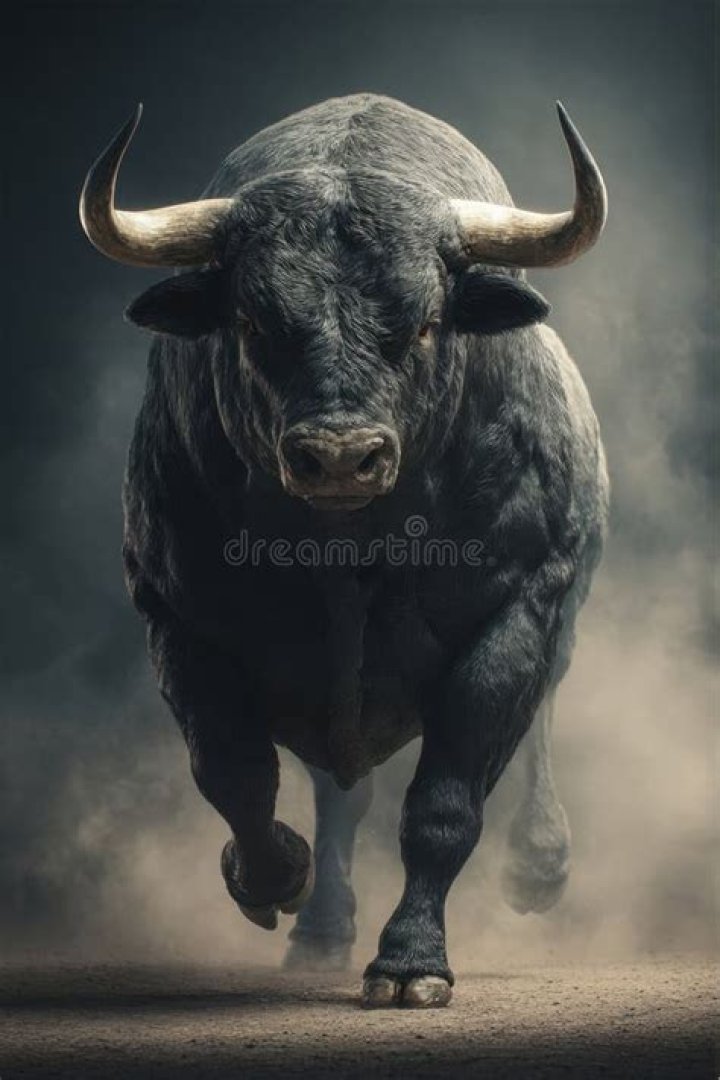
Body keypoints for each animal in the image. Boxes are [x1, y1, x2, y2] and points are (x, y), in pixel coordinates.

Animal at [79, 93, 608, 1008]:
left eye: (427, 322)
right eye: (251, 321)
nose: (338, 455)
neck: (345, 555)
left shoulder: (519, 610)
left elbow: (444, 805)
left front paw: (410, 964)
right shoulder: (175, 617)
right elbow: (234, 773)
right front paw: (271, 875)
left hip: (562, 619)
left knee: (536, 723)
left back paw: (539, 865)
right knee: (337, 799)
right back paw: (321, 928)